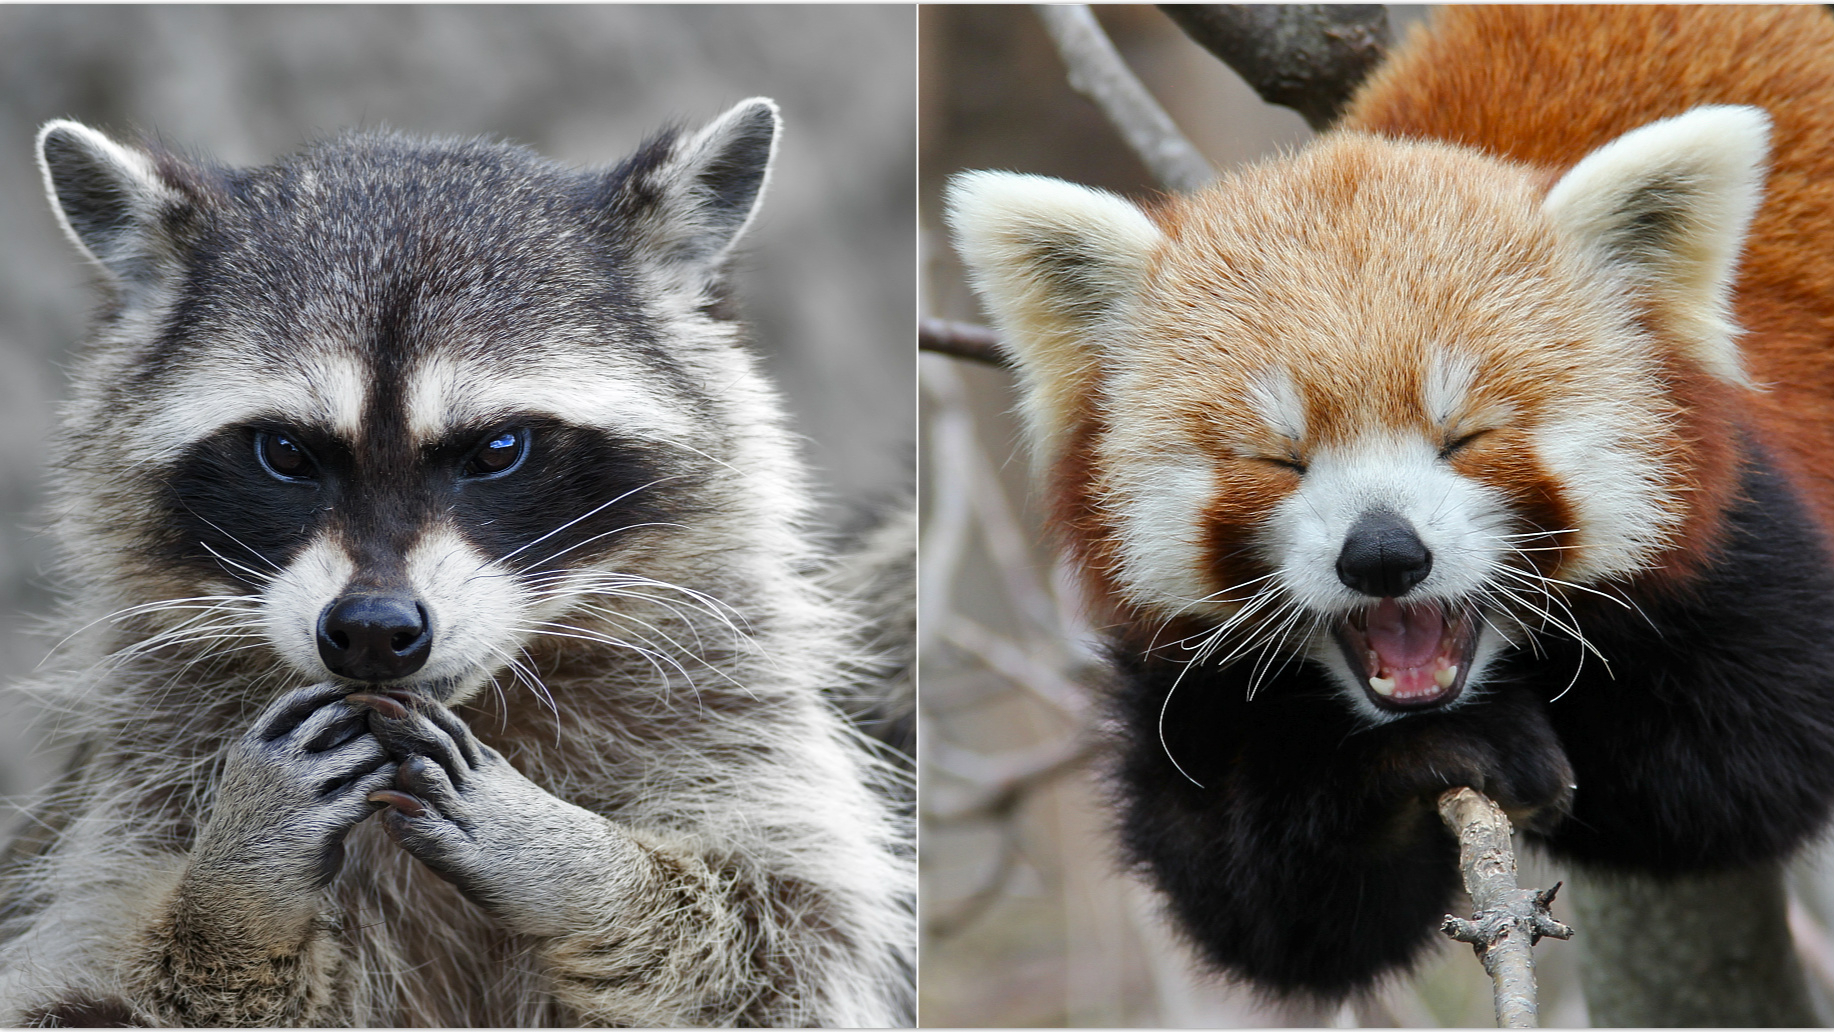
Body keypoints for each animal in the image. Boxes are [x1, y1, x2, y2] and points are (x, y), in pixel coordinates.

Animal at [0, 100, 913, 1026]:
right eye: (285, 452)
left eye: (500, 449)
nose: (372, 629)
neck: (483, 698)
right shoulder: (130, 798)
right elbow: (93, 994)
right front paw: (233, 897)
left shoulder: (734, 719)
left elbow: (781, 941)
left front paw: (578, 866)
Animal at [946, 2, 1834, 1004]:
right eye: (1279, 458)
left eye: (1466, 437)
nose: (1381, 554)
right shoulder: (1181, 680)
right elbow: (1270, 911)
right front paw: (1419, 758)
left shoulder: (1746, 525)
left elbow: (1749, 765)